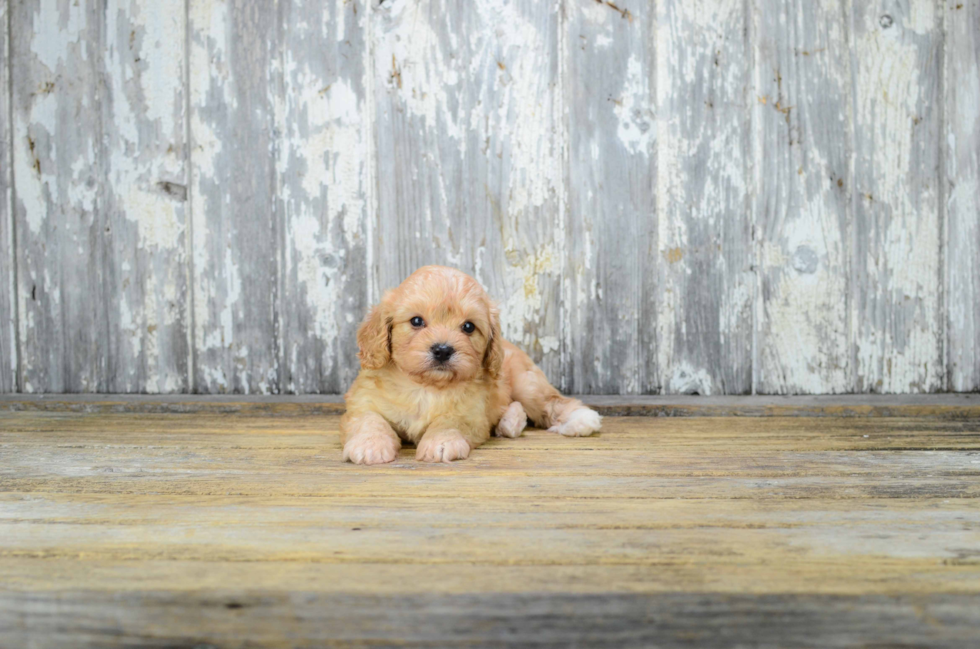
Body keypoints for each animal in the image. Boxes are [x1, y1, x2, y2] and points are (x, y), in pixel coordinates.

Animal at [340, 266, 600, 464]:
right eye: (416, 321)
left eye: (468, 327)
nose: (442, 350)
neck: (426, 387)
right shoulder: (363, 400)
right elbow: (369, 419)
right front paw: (370, 445)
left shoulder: (470, 413)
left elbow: (448, 421)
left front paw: (441, 442)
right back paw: (511, 421)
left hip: (527, 384)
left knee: (552, 402)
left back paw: (581, 419)